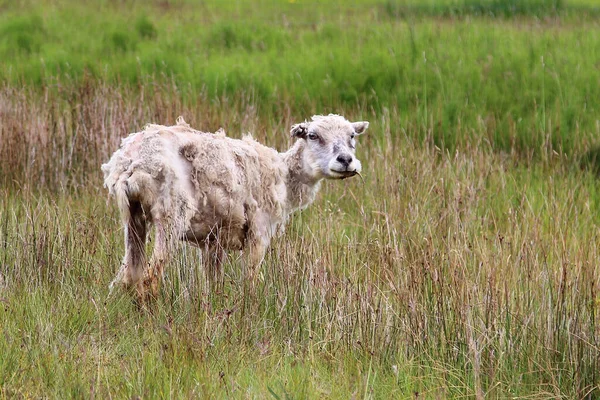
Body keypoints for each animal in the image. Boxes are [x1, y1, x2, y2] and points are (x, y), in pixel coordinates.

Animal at [101, 113, 368, 300]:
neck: (284, 176)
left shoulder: (213, 241)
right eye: (313, 136)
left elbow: (213, 283)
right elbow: (250, 279)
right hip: (172, 213)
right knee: (149, 278)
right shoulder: (259, 231)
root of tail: (133, 161)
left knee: (129, 276)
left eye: (352, 136)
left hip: (133, 215)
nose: (346, 160)